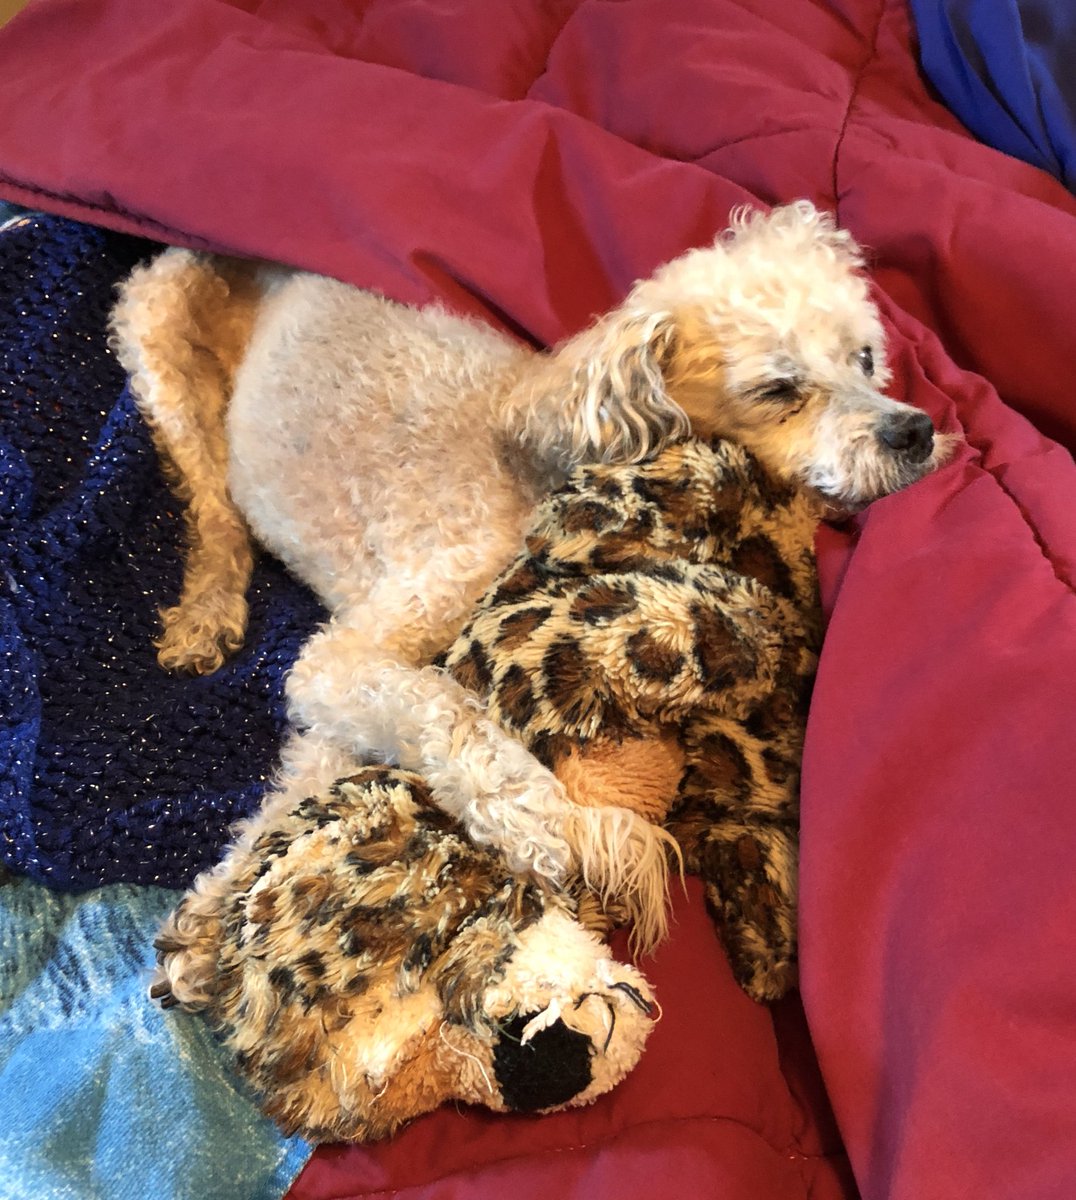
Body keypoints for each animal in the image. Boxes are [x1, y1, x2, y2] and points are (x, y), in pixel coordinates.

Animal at [111, 204, 950, 936]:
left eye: (867, 358)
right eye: (778, 390)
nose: (917, 431)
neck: (548, 452)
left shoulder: (344, 680)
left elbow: (314, 768)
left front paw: (214, 914)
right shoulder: (359, 647)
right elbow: (447, 715)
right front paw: (546, 824)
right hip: (157, 330)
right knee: (210, 501)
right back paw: (207, 613)